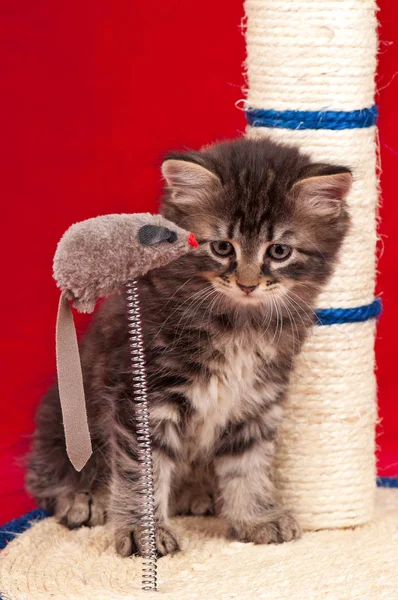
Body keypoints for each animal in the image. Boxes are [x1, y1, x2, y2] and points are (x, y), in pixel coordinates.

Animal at [26, 138, 352, 556]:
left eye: (279, 251)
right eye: (223, 247)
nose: (247, 284)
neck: (239, 325)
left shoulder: (256, 400)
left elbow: (248, 465)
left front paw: (256, 517)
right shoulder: (144, 397)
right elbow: (140, 474)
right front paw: (143, 534)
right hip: (65, 419)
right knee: (50, 474)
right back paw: (83, 498)